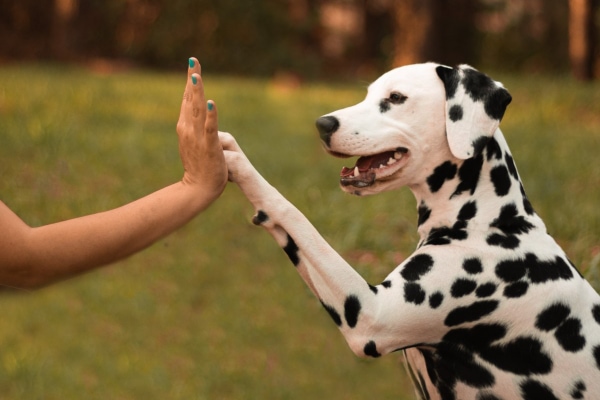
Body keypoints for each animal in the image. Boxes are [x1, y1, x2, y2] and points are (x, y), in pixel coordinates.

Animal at [219, 64, 600, 398]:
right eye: (368, 94)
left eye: (396, 97)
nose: (322, 124)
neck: (491, 220)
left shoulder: (370, 316)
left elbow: (290, 211)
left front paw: (235, 161)